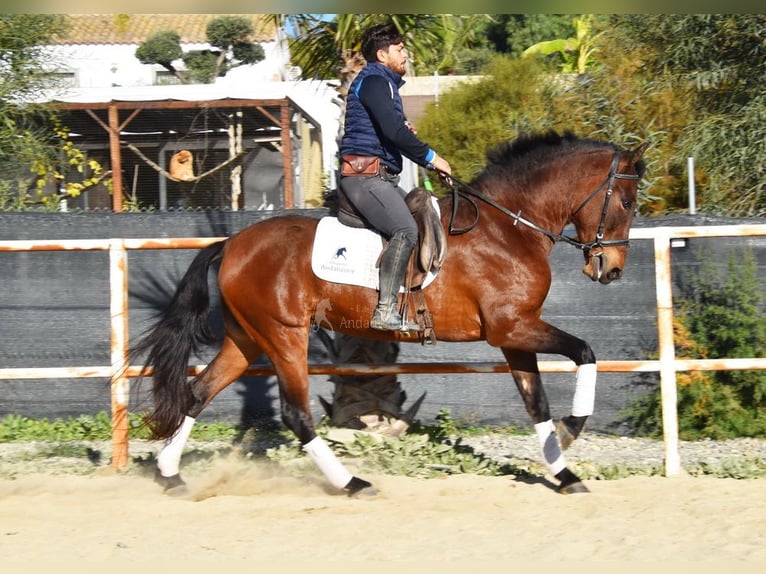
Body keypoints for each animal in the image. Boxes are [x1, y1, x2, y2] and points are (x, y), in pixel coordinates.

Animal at [132, 129, 648, 496]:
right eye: (625, 202)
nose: (611, 270)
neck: (508, 229)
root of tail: (233, 243)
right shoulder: (514, 327)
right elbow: (585, 352)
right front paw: (573, 428)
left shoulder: (512, 336)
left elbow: (536, 402)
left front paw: (564, 472)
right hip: (284, 336)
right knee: (297, 414)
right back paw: (351, 483)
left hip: (247, 339)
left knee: (198, 393)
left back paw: (169, 476)